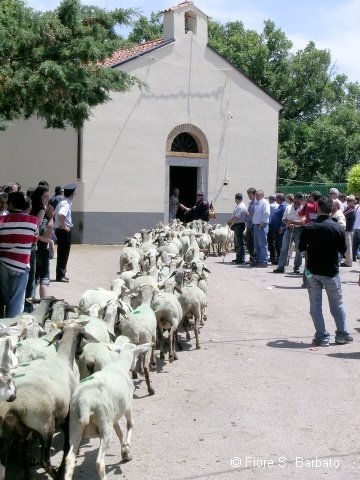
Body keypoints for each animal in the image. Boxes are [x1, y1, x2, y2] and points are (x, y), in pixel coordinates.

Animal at [64, 340, 152, 478]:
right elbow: (130, 424)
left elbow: (119, 432)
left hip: (75, 425)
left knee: (69, 460)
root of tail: (84, 400)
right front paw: (127, 446)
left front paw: (125, 452)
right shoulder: (127, 406)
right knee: (99, 462)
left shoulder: (113, 416)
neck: (120, 366)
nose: (135, 369)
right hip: (104, 424)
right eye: (137, 355)